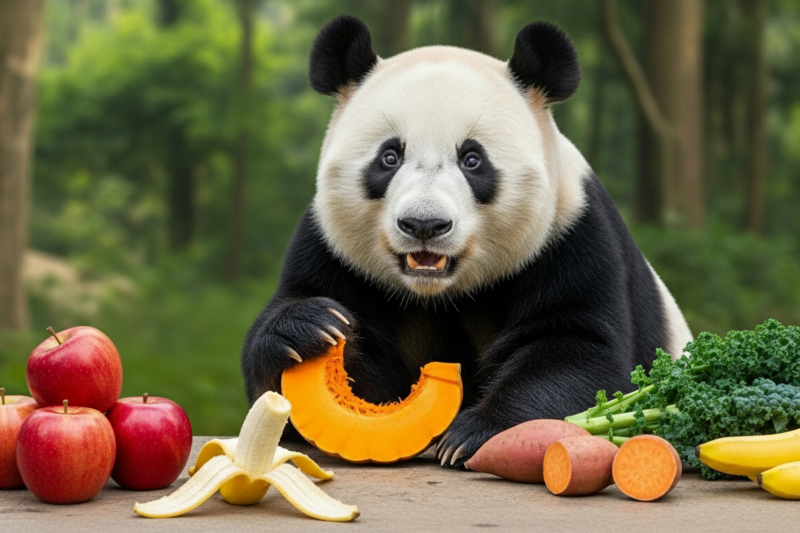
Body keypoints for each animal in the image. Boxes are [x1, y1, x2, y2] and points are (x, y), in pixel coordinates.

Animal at [241, 15, 692, 468]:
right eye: (389, 157)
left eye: (472, 159)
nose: (424, 224)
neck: (439, 292)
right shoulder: (329, 247)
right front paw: (312, 328)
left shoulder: (572, 237)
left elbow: (578, 351)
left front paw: (472, 434)